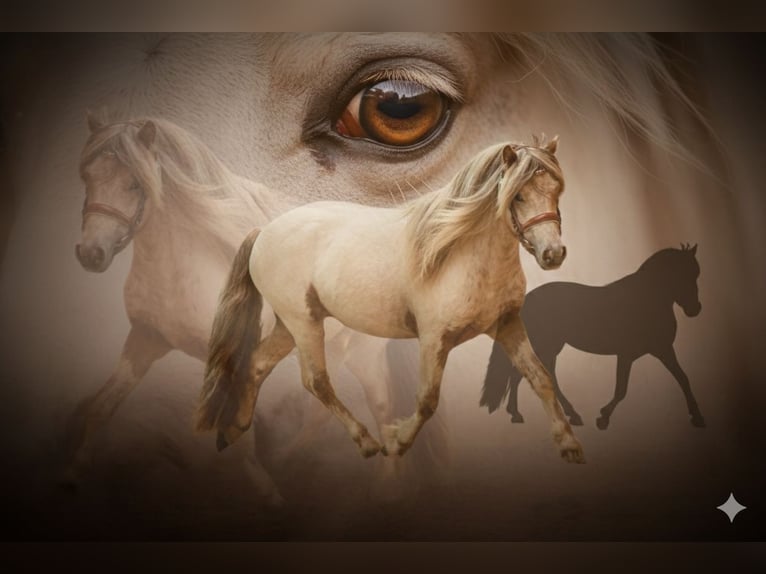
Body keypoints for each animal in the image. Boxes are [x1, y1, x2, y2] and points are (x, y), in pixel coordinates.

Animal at [197, 137, 586, 464]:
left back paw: (233, 431)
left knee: (257, 363)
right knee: (315, 382)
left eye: (556, 190)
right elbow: (427, 400)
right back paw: (367, 442)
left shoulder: (507, 326)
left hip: (288, 324)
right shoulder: (434, 339)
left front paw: (569, 445)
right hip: (304, 323)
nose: (553, 254)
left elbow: (541, 378)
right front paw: (397, 441)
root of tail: (265, 231)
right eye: (517, 195)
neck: (456, 254)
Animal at [480, 245, 705, 429]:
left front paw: (697, 417)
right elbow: (621, 389)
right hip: (547, 347)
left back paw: (521, 414)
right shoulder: (627, 354)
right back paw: (562, 414)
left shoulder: (663, 349)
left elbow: (683, 378)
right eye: (679, 274)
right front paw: (603, 418)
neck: (645, 301)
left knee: (521, 375)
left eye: (695, 274)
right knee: (532, 376)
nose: (695, 309)